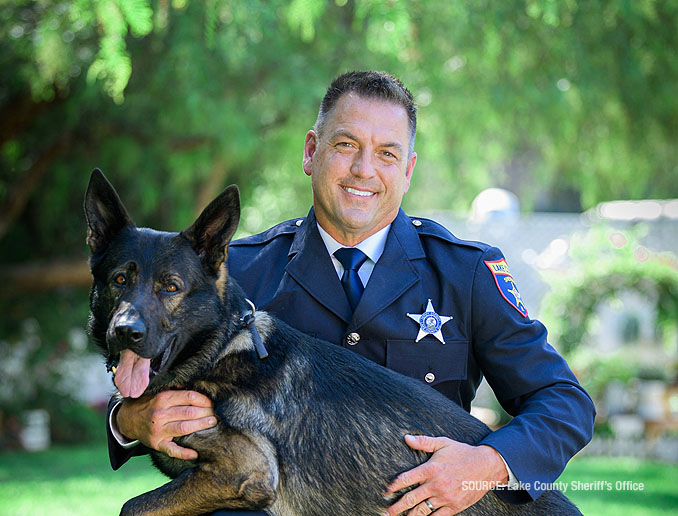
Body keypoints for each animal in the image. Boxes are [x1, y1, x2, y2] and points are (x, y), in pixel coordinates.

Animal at [86, 170, 584, 516]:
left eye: (171, 287)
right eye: (119, 280)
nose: (125, 331)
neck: (220, 347)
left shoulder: (244, 471)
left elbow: (132, 506)